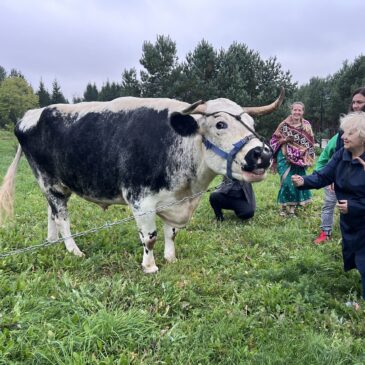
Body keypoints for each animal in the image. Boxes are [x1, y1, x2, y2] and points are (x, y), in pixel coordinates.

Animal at [0, 92, 282, 272]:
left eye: (252, 122)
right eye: (220, 124)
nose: (262, 154)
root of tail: (31, 113)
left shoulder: (172, 200)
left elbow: (171, 233)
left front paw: (170, 258)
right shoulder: (140, 199)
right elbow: (150, 237)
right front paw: (150, 266)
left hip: (56, 185)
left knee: (51, 212)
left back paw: (51, 241)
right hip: (50, 182)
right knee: (61, 217)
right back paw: (73, 250)